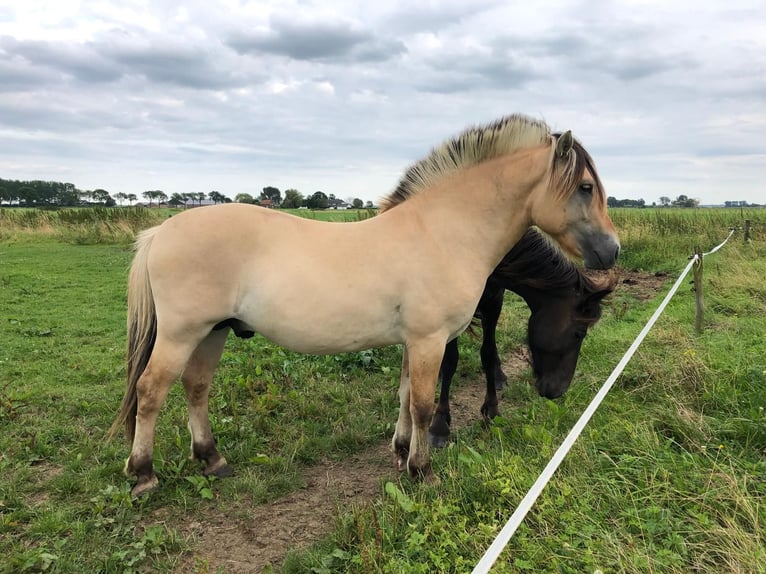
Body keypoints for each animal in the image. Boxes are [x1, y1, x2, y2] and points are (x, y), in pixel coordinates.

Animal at [428, 227, 620, 448]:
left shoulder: (494, 300)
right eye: (579, 332)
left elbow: (487, 353)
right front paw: (440, 425)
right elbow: (451, 361)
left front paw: (492, 410)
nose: (559, 391)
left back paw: (498, 375)